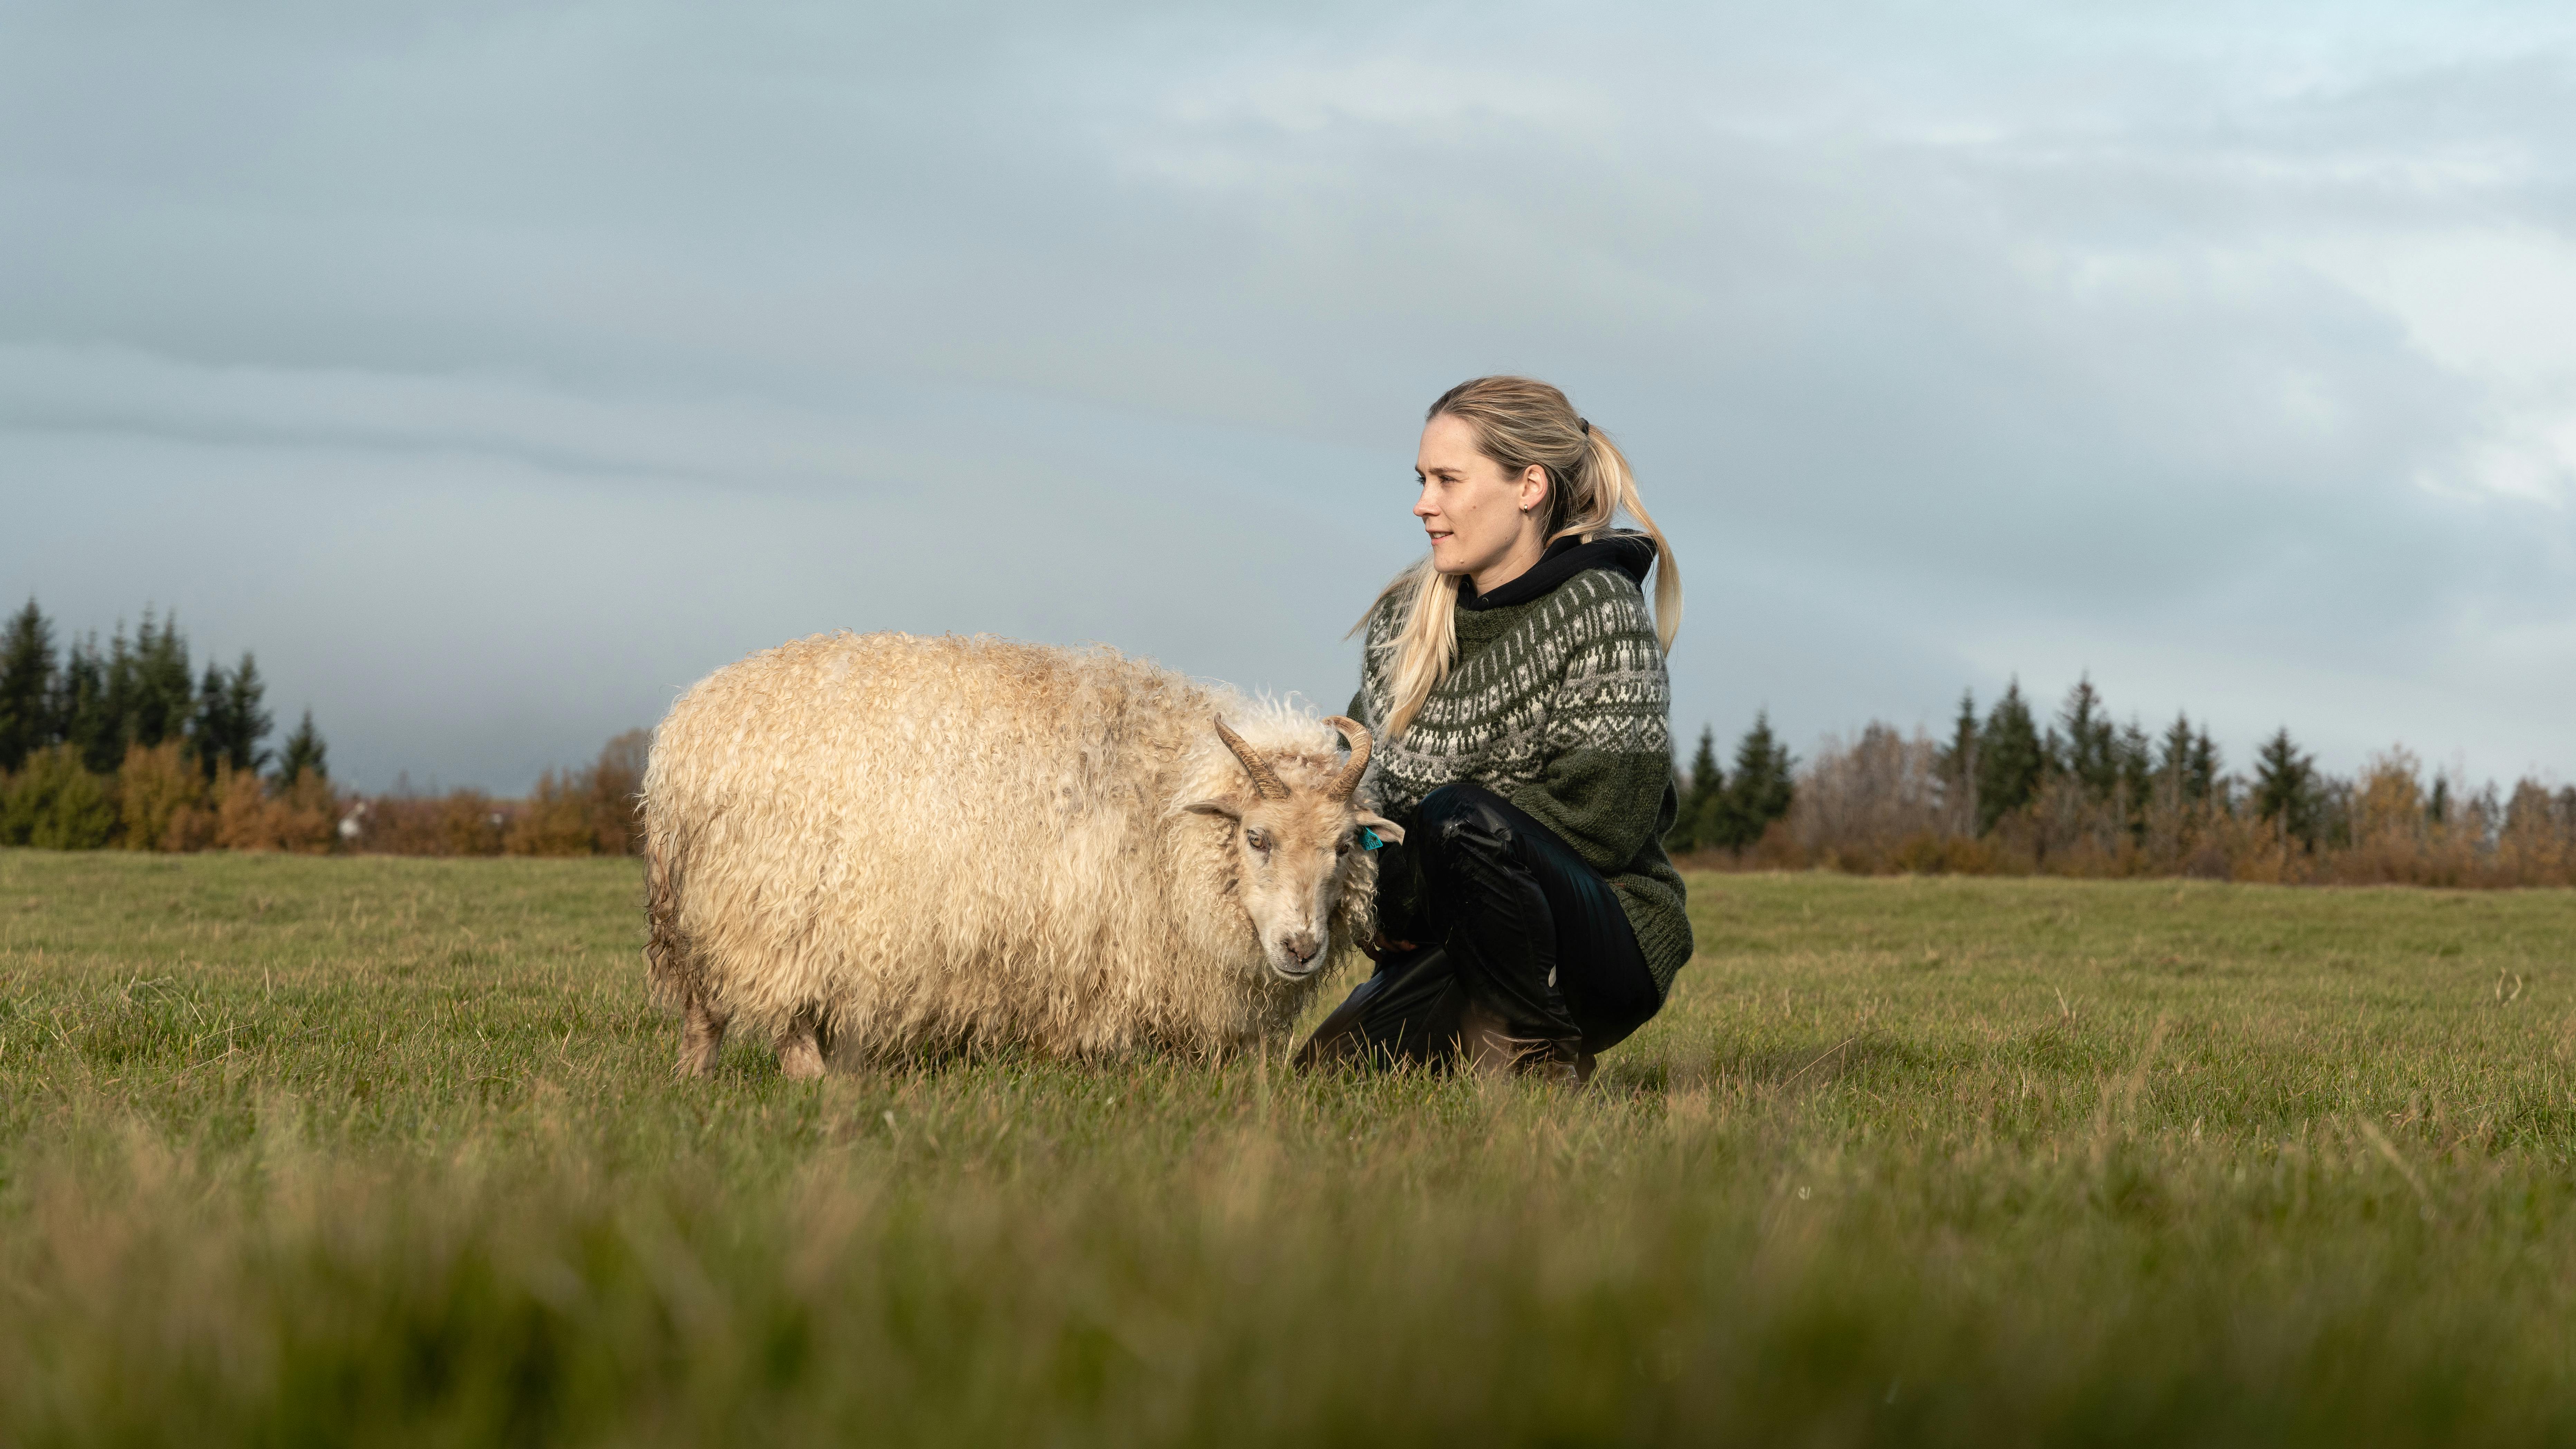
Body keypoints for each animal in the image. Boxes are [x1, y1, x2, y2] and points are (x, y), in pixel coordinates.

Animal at [641, 631, 1406, 1077]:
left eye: (1344, 845)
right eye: (1257, 837)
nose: (1301, 946)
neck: (1164, 798)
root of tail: (688, 725)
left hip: (699, 910)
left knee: (704, 1011)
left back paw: (694, 1080)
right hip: (769, 907)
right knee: (783, 1014)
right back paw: (815, 1083)